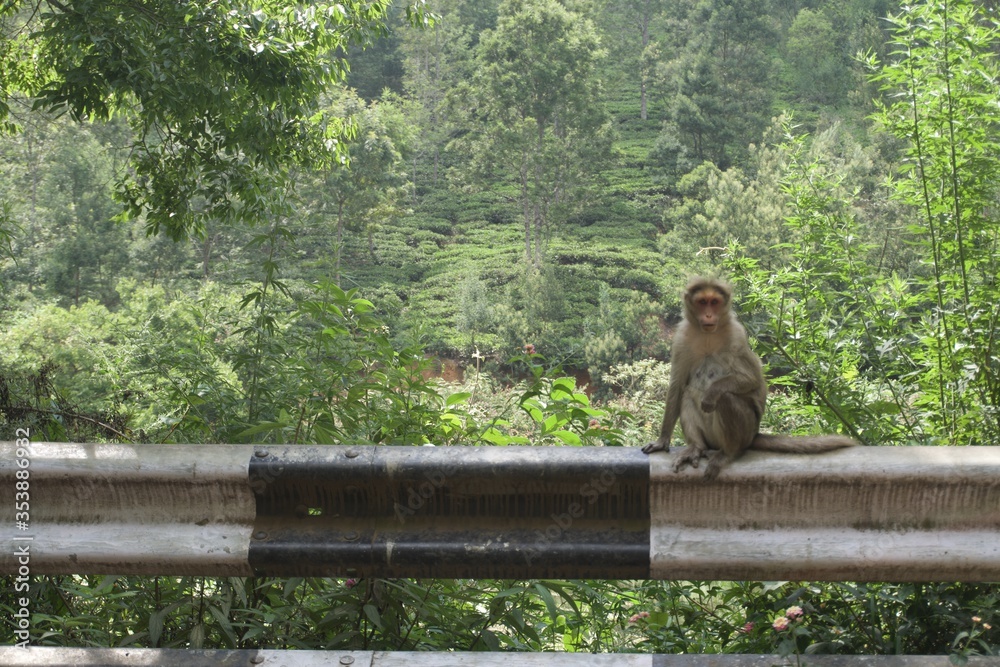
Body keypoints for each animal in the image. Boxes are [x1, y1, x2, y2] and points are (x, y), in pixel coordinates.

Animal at [641, 277, 856, 479]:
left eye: (714, 302)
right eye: (702, 302)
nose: (709, 315)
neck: (708, 334)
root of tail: (754, 435)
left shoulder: (737, 334)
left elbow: (751, 379)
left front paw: (712, 392)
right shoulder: (682, 338)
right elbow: (677, 386)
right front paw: (662, 441)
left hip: (745, 430)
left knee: (725, 398)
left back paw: (728, 452)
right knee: (687, 394)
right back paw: (696, 447)